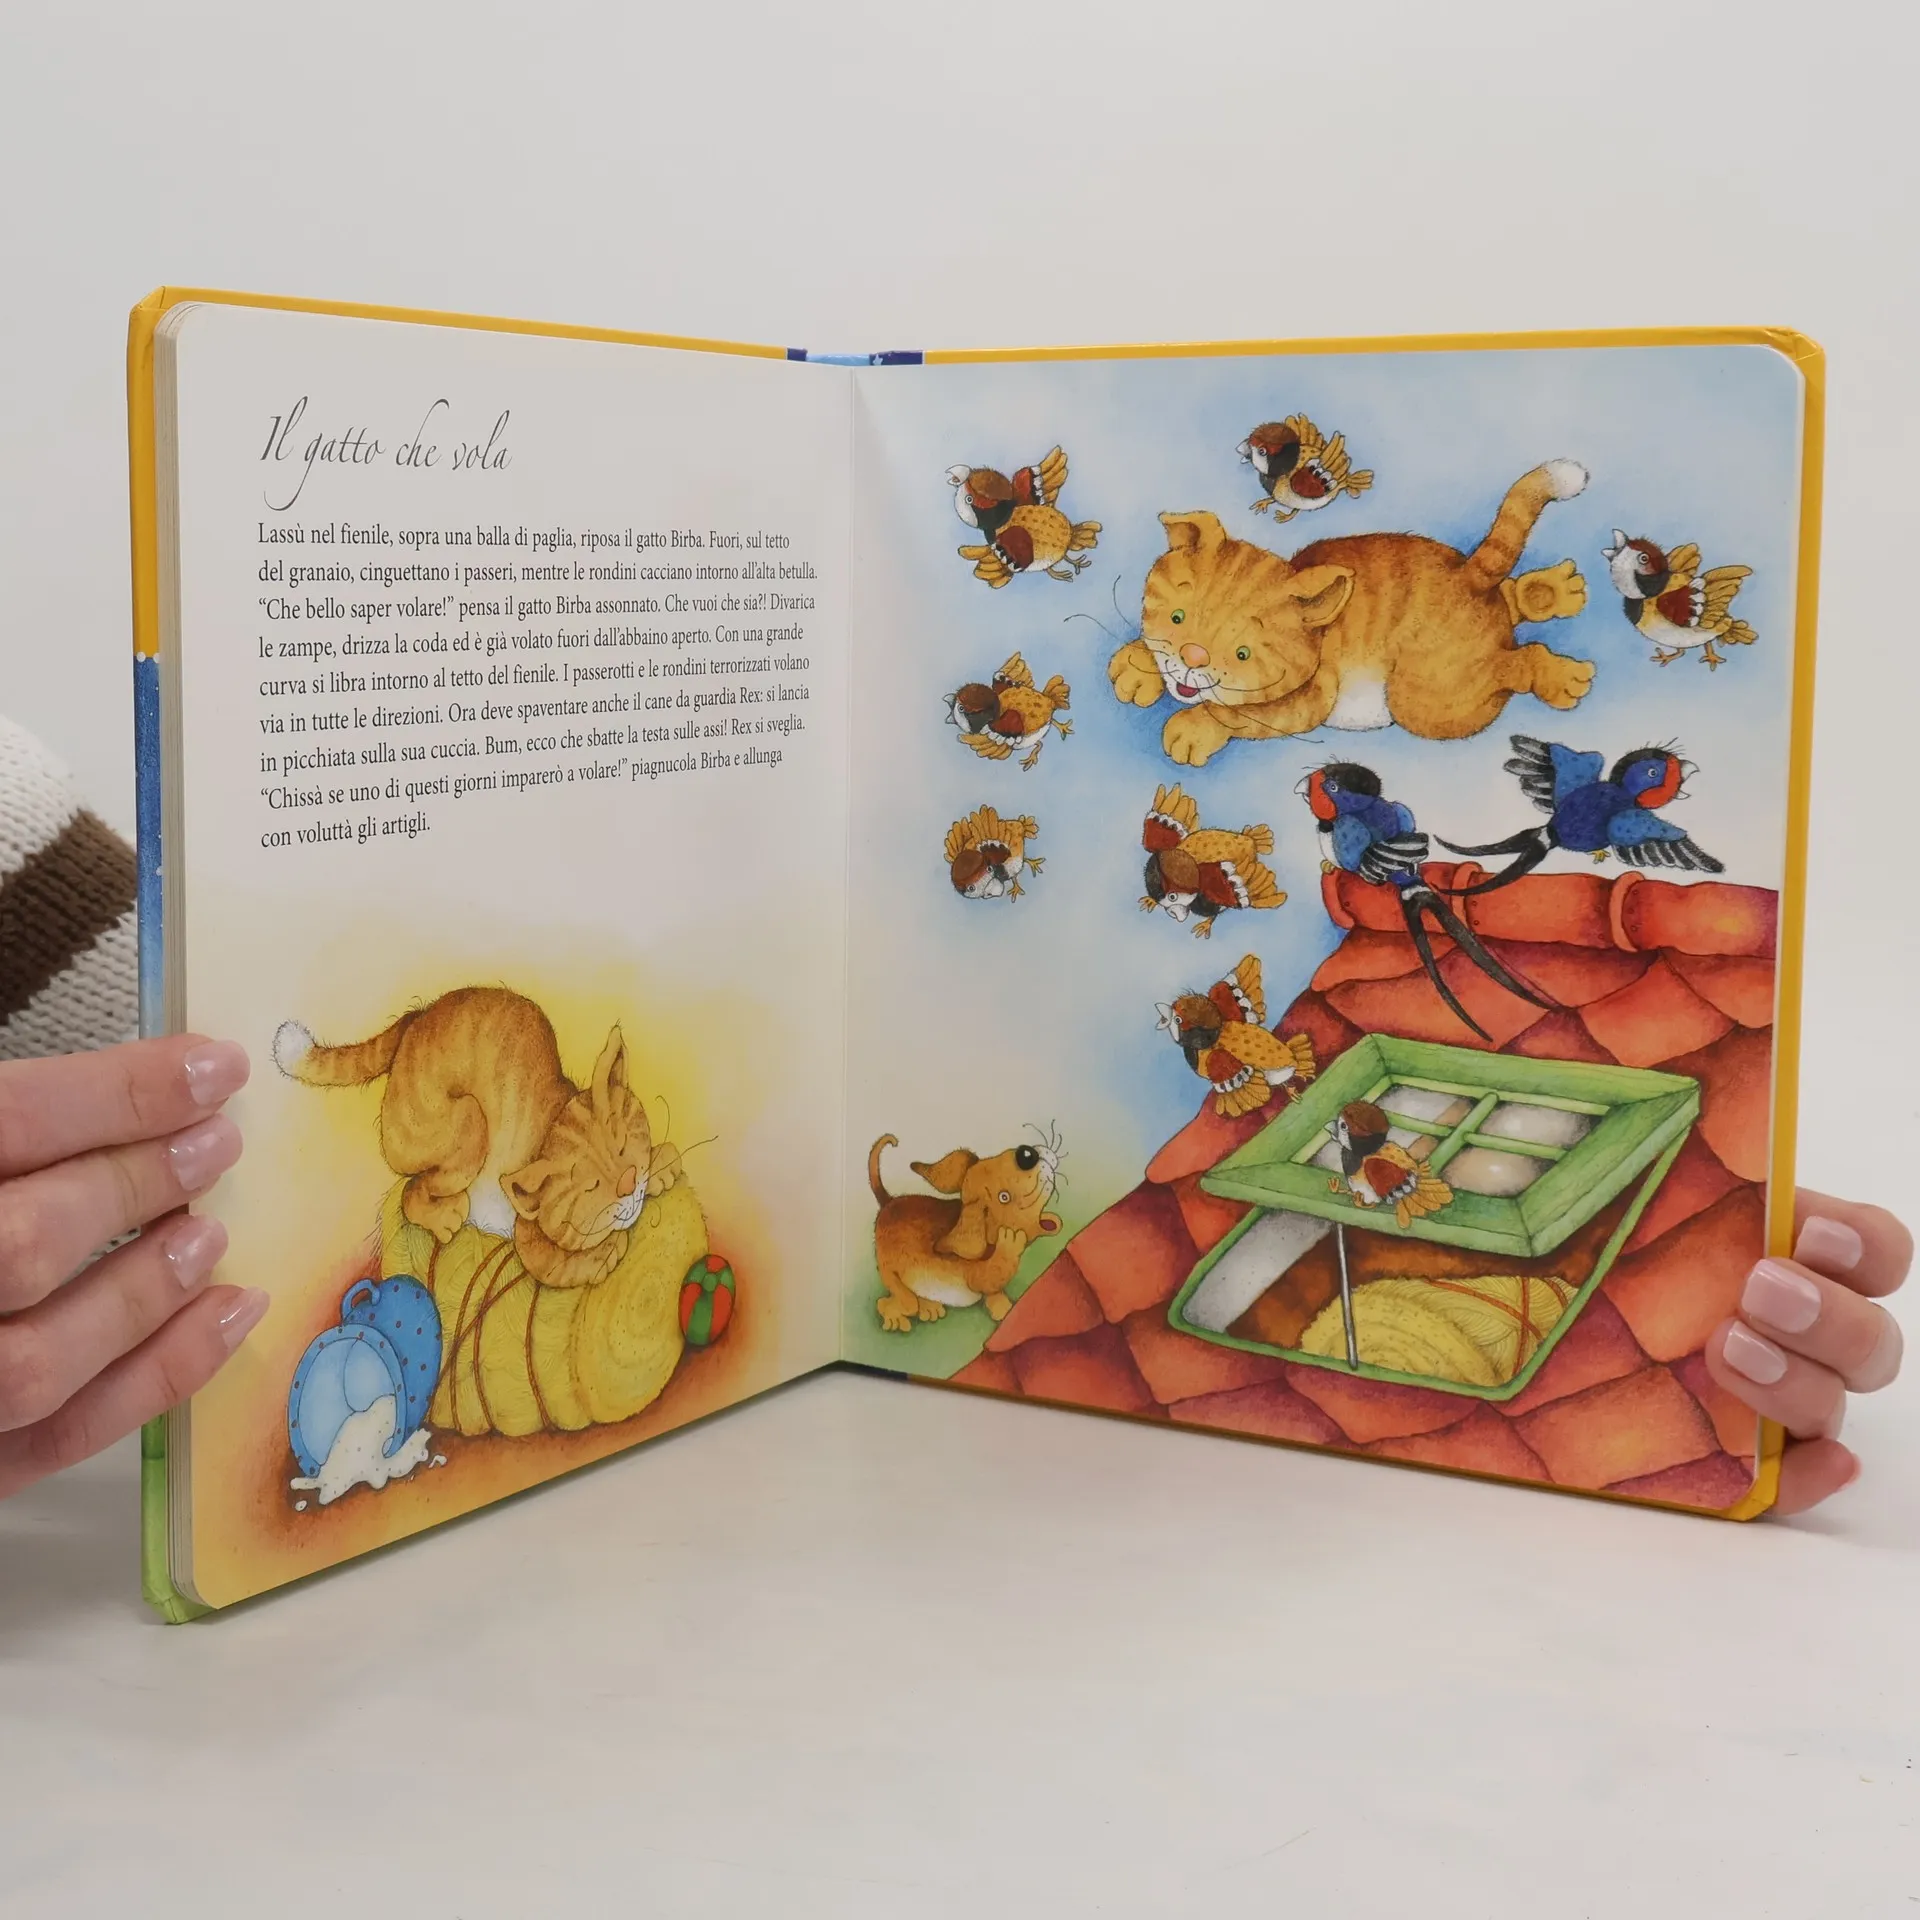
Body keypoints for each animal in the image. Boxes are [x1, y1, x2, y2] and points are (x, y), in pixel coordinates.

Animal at [274, 987, 679, 1290]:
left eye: (623, 1145)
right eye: (590, 1186)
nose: (629, 1183)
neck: (555, 1117)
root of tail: (415, 1020)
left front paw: (662, 1164)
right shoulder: (526, 1230)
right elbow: (551, 1264)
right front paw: (603, 1254)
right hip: (467, 1122)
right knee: (411, 1190)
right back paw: (445, 1215)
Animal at [869, 1133, 1062, 1333]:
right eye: (1004, 1197)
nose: (1026, 1154)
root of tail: (888, 1203)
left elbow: (996, 1295)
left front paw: (1006, 1311)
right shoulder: (975, 1273)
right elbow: (988, 1278)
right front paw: (1011, 1242)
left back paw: (930, 1307)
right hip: (889, 1270)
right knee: (896, 1302)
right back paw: (896, 1319)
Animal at [1107, 461, 1596, 765]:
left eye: (1243, 654)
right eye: (1177, 619)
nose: (1193, 657)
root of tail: (1469, 575)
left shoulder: (1308, 701)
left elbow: (1236, 713)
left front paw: (1193, 728)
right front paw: (1137, 666)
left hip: (1422, 700)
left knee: (1511, 664)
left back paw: (1558, 675)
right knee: (1510, 600)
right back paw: (1554, 590)